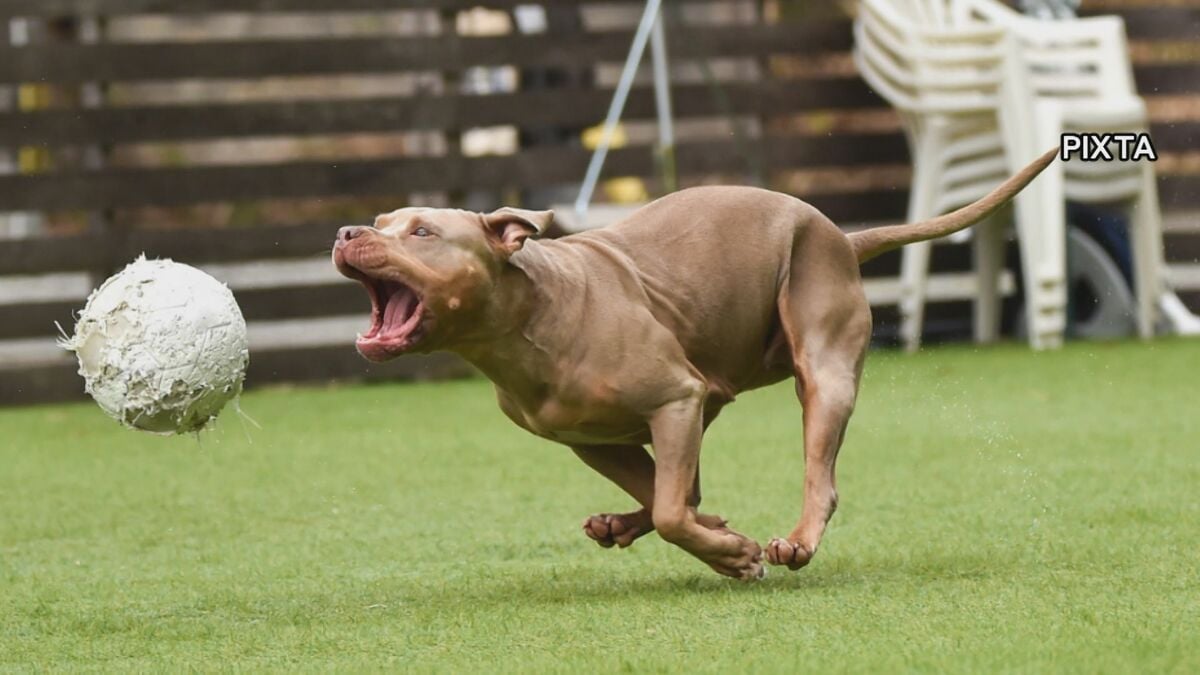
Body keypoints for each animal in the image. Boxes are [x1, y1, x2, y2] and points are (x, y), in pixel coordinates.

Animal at [333, 148, 1056, 578]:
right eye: (381, 219)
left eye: (422, 232)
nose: (345, 231)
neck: (527, 319)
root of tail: (842, 237)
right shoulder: (597, 436)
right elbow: (669, 496)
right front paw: (714, 538)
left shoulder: (674, 398)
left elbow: (674, 511)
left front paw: (734, 557)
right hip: (712, 393)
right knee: (683, 488)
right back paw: (632, 524)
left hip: (820, 368)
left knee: (815, 475)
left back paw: (793, 540)